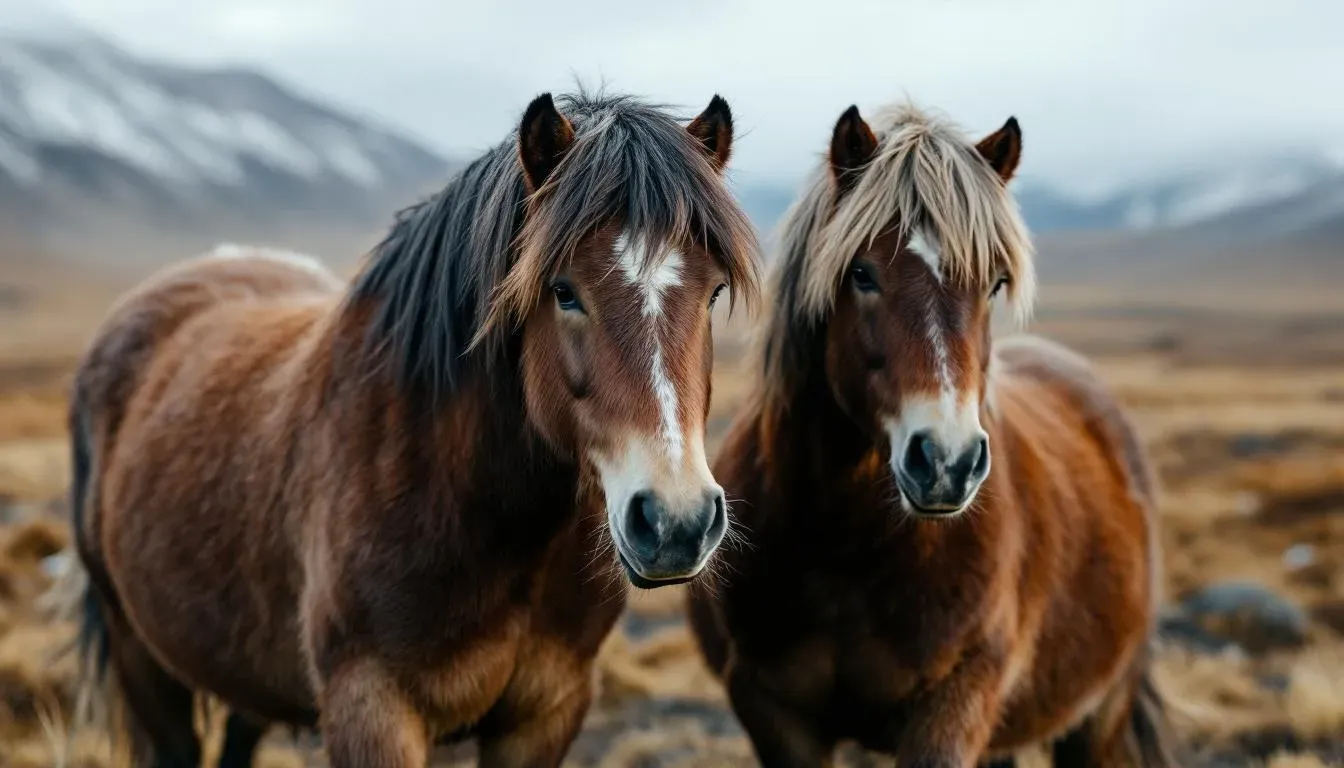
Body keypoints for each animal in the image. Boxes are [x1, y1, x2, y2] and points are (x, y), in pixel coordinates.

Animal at [57, 89, 761, 768]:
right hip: (142, 656)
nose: (676, 523)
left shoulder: (545, 712)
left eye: (713, 293)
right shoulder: (371, 708)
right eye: (563, 291)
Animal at [685, 100, 1177, 768]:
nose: (947, 462)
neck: (848, 549)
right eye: (862, 273)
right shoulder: (772, 712)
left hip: (1099, 712)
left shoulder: (954, 704)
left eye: (995, 283)